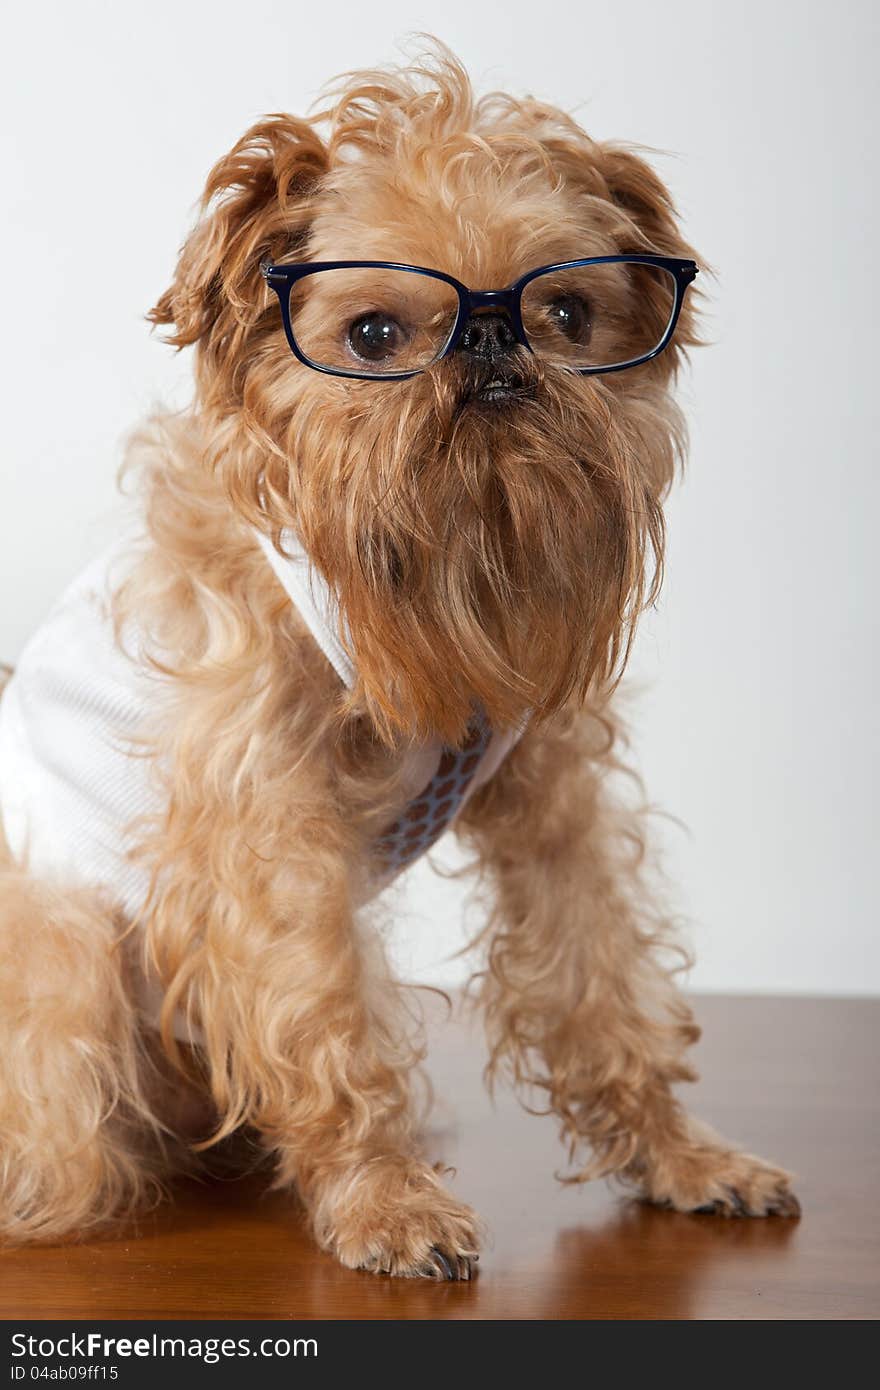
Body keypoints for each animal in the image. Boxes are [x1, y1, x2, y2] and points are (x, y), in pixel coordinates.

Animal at [0, 43, 795, 1278]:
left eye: (566, 311)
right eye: (374, 337)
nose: (494, 341)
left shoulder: (546, 792)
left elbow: (597, 971)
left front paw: (681, 1155)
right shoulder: (267, 826)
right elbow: (322, 1005)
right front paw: (382, 1199)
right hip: (66, 958)